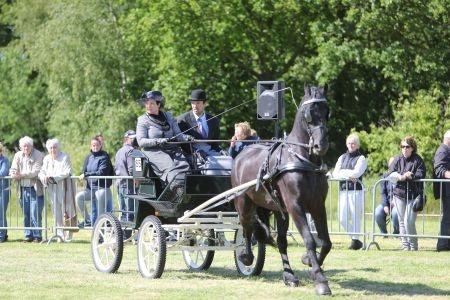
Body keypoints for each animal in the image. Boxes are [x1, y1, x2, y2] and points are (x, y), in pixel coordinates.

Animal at [232, 84, 330, 296]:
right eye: (308, 114)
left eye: (328, 112)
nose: (321, 146)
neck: (303, 160)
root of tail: (241, 154)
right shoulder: (295, 206)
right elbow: (309, 239)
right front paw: (320, 280)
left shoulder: (318, 206)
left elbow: (325, 241)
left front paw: (309, 261)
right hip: (243, 203)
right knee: (247, 228)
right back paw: (246, 257)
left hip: (279, 210)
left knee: (281, 241)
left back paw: (289, 276)